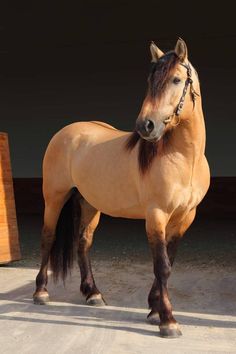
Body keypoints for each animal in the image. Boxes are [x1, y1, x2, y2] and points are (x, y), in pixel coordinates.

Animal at [32, 38, 210, 338]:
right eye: (150, 80)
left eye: (176, 79)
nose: (145, 126)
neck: (185, 159)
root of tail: (66, 132)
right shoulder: (156, 215)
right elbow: (162, 266)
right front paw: (167, 321)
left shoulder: (185, 217)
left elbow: (169, 262)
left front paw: (153, 309)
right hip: (54, 197)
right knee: (48, 237)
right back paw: (41, 293)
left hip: (90, 204)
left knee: (83, 243)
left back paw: (93, 293)